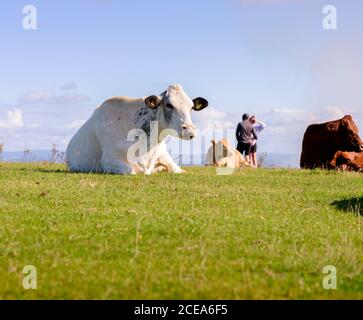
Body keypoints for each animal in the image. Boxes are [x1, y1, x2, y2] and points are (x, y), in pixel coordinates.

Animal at [65, 84, 208, 175]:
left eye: (191, 107)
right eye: (169, 105)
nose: (190, 130)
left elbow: (178, 170)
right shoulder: (108, 160)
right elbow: (132, 171)